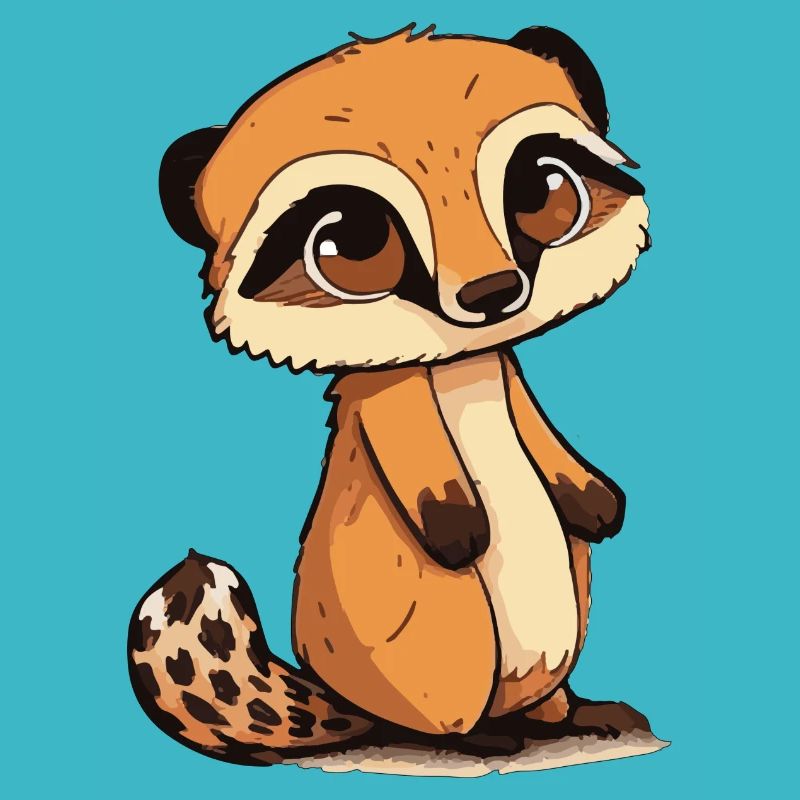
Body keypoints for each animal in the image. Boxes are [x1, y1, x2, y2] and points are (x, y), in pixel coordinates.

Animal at [130, 25, 653, 766]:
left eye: (545, 190)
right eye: (354, 243)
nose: (493, 292)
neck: (459, 367)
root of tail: (344, 699)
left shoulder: (506, 369)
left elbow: (540, 433)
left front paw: (593, 497)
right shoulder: (383, 391)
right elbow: (417, 466)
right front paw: (458, 526)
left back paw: (569, 713)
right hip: (439, 659)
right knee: (436, 716)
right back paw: (479, 735)